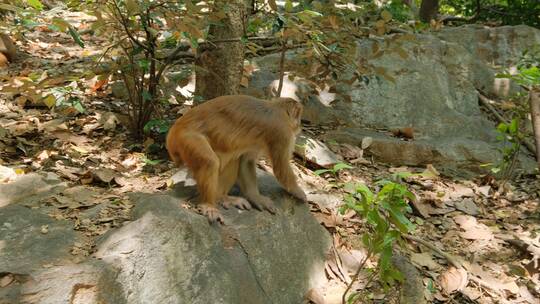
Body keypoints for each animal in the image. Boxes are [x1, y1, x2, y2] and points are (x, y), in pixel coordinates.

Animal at [165, 94, 308, 222]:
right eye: (299, 116)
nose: (300, 125)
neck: (277, 108)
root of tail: (173, 131)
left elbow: (246, 161)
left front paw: (256, 197)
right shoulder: (282, 132)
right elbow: (281, 168)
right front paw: (298, 192)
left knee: (233, 159)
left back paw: (222, 197)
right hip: (186, 138)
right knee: (210, 162)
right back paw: (209, 205)